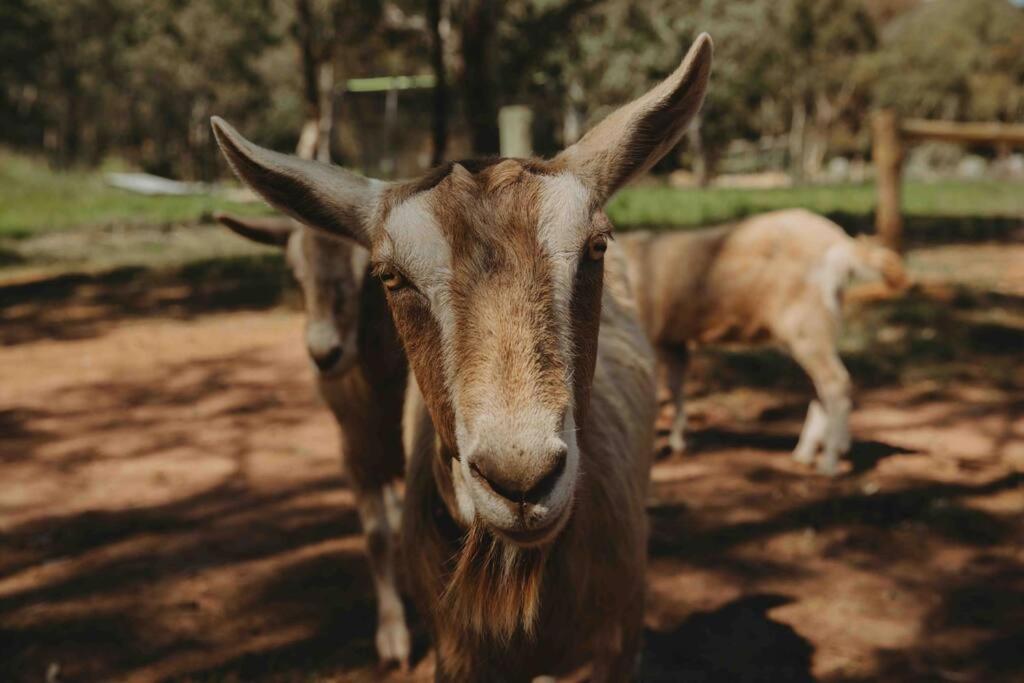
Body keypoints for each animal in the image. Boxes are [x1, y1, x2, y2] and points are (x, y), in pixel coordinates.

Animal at [214, 214, 409, 667]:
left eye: (370, 273)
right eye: (295, 274)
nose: (324, 354)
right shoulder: (353, 452)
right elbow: (376, 537)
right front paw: (393, 635)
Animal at [614, 208, 905, 475]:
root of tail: (841, 243)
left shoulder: (647, 336)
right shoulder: (673, 341)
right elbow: (676, 386)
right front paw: (679, 441)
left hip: (808, 323)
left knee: (836, 381)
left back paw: (830, 462)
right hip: (809, 329)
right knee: (820, 385)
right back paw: (805, 454)